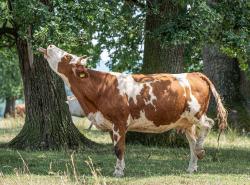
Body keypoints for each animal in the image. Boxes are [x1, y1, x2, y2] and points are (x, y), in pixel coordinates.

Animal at [38, 45, 228, 177]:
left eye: (67, 56)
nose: (50, 45)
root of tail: (194, 73)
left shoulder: (119, 122)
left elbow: (119, 149)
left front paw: (118, 173)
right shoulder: (110, 125)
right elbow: (117, 148)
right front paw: (120, 169)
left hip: (195, 113)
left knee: (208, 124)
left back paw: (201, 150)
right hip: (186, 122)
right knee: (192, 142)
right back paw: (192, 166)